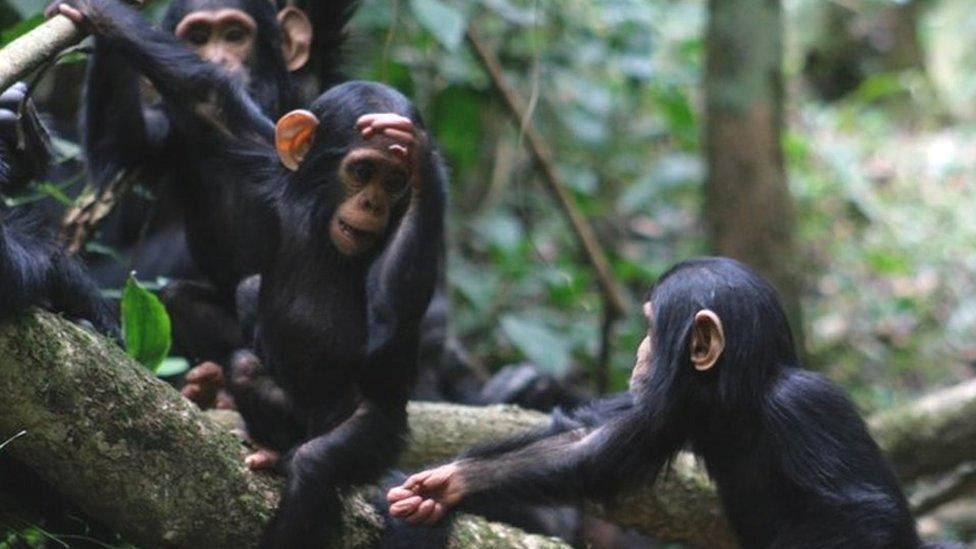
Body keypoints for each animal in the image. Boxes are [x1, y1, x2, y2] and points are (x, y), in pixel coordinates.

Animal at [49, 2, 446, 544]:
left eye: (395, 180)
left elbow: (389, 316)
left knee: (319, 463)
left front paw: (426, 160)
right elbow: (205, 97)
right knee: (240, 358)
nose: (373, 204)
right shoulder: (260, 157)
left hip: (380, 430)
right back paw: (260, 437)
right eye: (364, 171)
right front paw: (102, 17)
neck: (318, 215)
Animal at [390, 256, 944, 548]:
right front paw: (449, 483)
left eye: (651, 327)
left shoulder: (805, 409)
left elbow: (859, 516)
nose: (639, 351)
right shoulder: (673, 409)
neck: (741, 397)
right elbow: (591, 449)